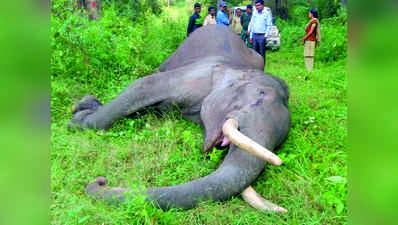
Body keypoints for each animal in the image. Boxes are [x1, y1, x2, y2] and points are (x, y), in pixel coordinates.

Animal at [70, 25, 290, 212]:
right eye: (260, 94)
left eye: (280, 142)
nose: (100, 181)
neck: (235, 68)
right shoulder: (194, 76)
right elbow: (143, 85)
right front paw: (78, 117)